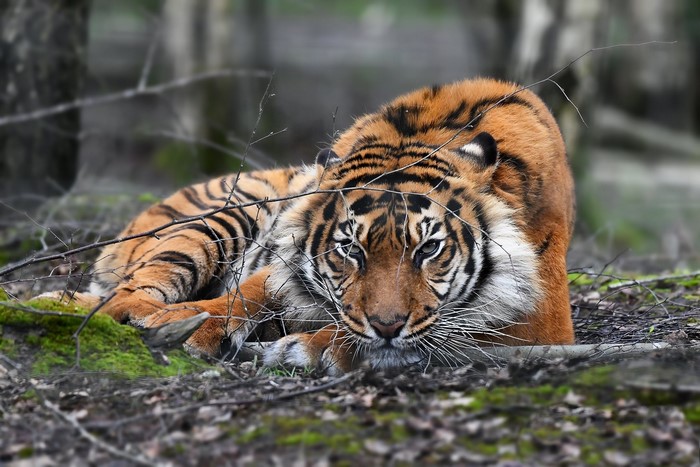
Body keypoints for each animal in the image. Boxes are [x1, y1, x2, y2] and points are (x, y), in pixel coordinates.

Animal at [51, 78, 575, 375]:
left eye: (428, 250)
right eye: (350, 250)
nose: (388, 326)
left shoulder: (541, 320)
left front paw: (305, 348)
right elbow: (247, 293)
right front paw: (189, 325)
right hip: (227, 214)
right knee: (127, 290)